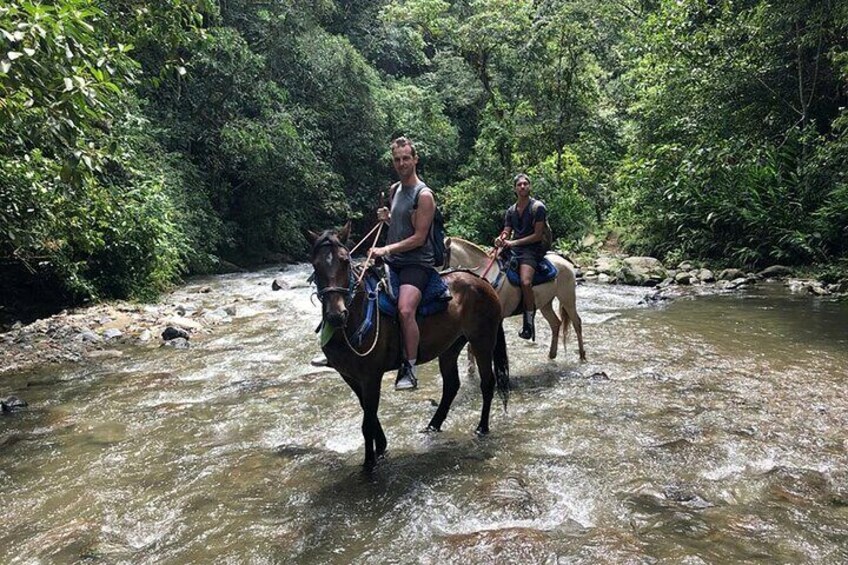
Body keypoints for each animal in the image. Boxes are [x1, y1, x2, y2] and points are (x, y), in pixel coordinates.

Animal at [310, 224, 510, 468]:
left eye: (344, 261)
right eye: (315, 265)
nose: (336, 315)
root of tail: (483, 282)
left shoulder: (371, 376)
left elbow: (368, 421)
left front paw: (369, 464)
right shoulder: (350, 376)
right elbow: (369, 413)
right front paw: (381, 447)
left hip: (482, 340)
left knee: (487, 382)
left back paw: (482, 428)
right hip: (450, 347)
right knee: (451, 385)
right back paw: (432, 426)